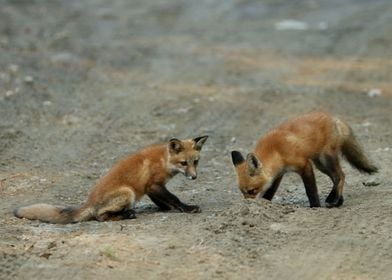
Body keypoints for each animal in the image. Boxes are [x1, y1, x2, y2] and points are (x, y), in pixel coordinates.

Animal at [13, 136, 208, 223]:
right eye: (184, 163)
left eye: (196, 162)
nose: (194, 177)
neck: (164, 160)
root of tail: (89, 202)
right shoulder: (154, 185)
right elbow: (174, 198)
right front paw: (187, 208)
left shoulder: (151, 188)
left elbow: (165, 201)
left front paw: (168, 209)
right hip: (127, 193)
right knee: (100, 217)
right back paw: (126, 214)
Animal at [231, 112, 378, 208]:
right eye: (243, 192)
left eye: (252, 191)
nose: (247, 205)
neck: (276, 151)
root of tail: (334, 118)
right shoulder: (278, 174)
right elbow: (270, 191)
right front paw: (266, 204)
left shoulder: (304, 165)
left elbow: (310, 190)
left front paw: (315, 206)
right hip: (320, 164)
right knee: (336, 177)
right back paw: (338, 200)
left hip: (325, 158)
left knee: (340, 176)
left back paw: (332, 199)